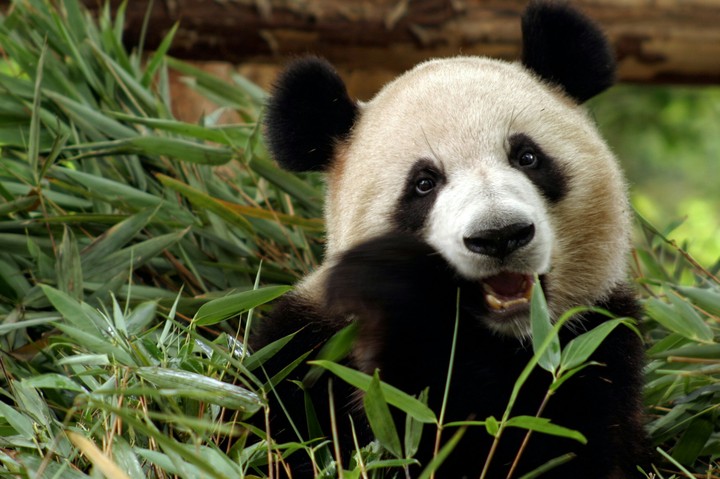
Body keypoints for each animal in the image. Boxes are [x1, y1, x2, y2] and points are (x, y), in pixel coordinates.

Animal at [251, 1, 650, 477]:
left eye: (527, 157)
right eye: (424, 183)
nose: (499, 235)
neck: (502, 339)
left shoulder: (597, 343)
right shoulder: (308, 352)